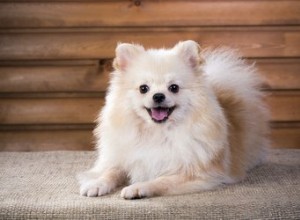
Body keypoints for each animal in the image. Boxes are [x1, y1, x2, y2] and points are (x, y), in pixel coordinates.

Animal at [78, 40, 270, 199]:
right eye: (143, 88)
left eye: (174, 87)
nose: (158, 96)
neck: (157, 132)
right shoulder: (125, 158)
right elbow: (111, 171)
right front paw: (96, 184)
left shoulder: (198, 174)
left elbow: (162, 180)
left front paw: (138, 187)